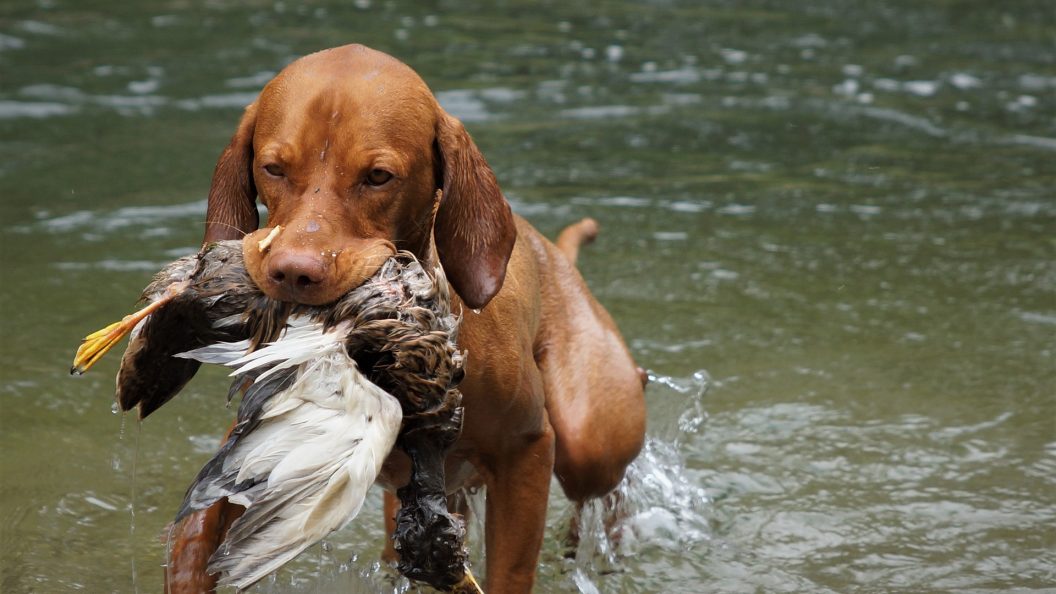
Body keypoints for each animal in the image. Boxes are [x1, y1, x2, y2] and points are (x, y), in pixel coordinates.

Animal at [167, 46, 642, 591]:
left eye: (378, 177)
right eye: (273, 168)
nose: (292, 272)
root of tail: (556, 255)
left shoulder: (526, 451)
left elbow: (509, 570)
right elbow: (197, 530)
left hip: (589, 438)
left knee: (602, 479)